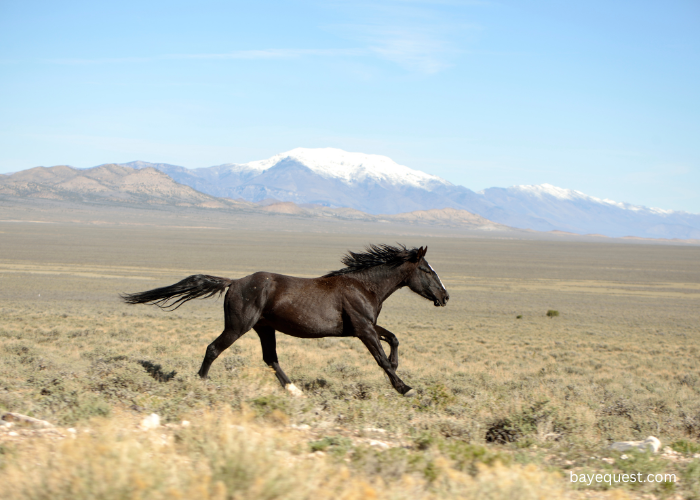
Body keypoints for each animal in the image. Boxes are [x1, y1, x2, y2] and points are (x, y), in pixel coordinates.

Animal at [119, 244, 448, 396]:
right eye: (427, 271)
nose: (445, 297)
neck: (362, 285)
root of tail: (234, 282)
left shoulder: (362, 326)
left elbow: (393, 338)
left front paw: (397, 367)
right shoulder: (362, 328)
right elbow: (380, 357)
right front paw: (404, 387)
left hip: (264, 328)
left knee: (271, 359)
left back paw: (294, 390)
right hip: (238, 326)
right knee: (213, 349)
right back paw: (201, 382)